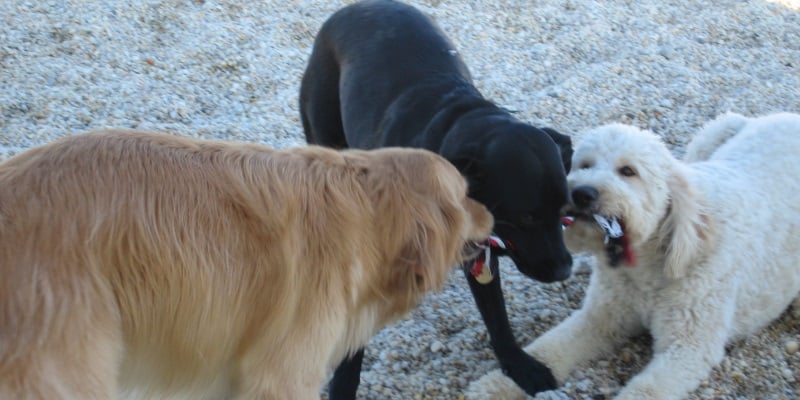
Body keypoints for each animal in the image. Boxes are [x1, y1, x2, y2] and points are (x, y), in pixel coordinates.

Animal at [302, 0, 576, 396]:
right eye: (525, 218)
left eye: (564, 212)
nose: (565, 270)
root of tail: (353, 9)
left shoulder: (480, 254)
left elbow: (497, 318)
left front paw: (519, 365)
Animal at [466, 112, 800, 400]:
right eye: (584, 164)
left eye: (628, 171)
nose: (582, 193)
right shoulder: (602, 317)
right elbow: (549, 348)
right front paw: (500, 382)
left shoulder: (688, 347)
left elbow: (647, 389)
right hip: (716, 133)